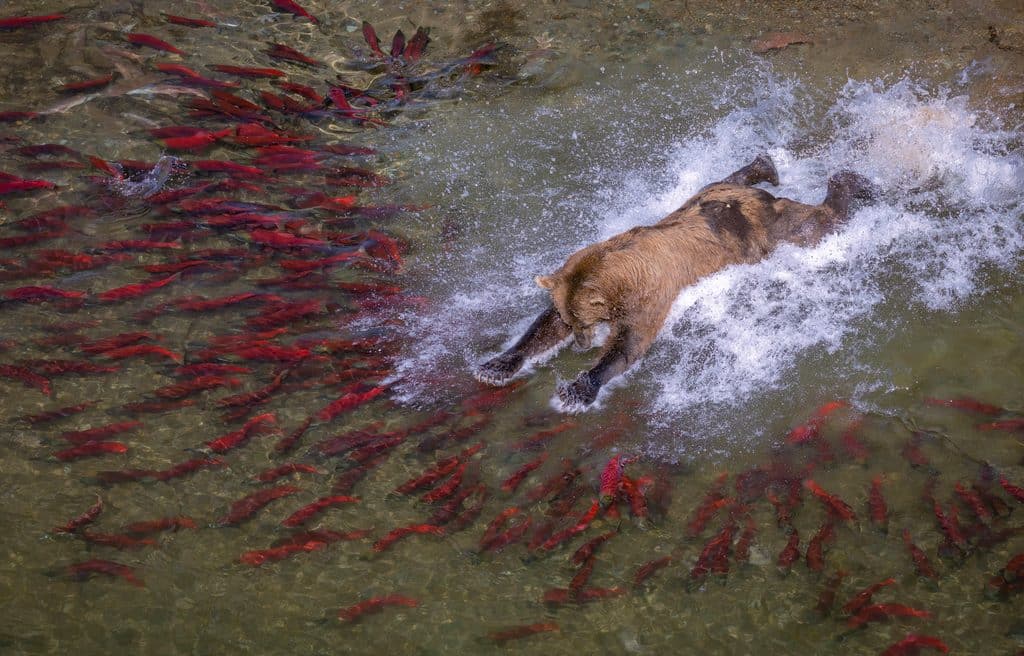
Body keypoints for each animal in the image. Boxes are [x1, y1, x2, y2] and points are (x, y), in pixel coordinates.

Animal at [474, 154, 874, 410]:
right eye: (573, 322)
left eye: (584, 324)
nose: (581, 345)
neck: (620, 272)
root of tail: (757, 199)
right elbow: (544, 327)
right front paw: (495, 365)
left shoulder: (649, 295)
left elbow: (629, 344)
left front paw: (577, 390)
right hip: (709, 195)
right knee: (729, 177)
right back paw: (767, 165)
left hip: (770, 231)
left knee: (816, 222)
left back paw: (856, 182)